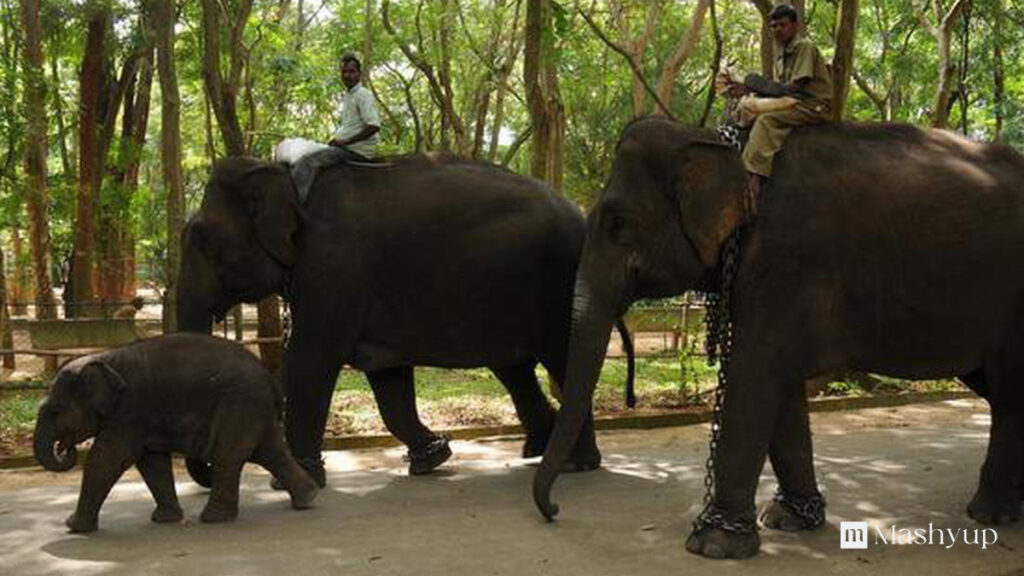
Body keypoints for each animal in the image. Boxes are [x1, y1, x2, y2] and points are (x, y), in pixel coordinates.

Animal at [34, 330, 315, 532]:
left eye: (55, 410)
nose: (66, 449)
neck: (104, 357)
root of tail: (269, 378)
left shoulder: (129, 411)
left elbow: (107, 459)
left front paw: (73, 527)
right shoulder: (140, 417)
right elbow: (151, 462)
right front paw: (165, 520)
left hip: (240, 405)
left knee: (228, 455)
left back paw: (213, 519)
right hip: (254, 410)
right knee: (270, 451)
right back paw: (307, 499)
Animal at [180, 152, 634, 483]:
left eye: (202, 239)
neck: (287, 178)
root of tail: (581, 214)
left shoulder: (332, 269)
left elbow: (310, 359)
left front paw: (297, 479)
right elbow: (387, 380)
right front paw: (433, 458)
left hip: (558, 287)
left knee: (561, 360)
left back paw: (575, 463)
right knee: (515, 368)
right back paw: (540, 448)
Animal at [532, 116, 1024, 557]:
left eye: (619, 225)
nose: (554, 510)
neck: (721, 144)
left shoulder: (787, 261)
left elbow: (756, 373)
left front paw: (714, 544)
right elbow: (780, 387)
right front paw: (790, 519)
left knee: (1009, 394)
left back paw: (990, 514)